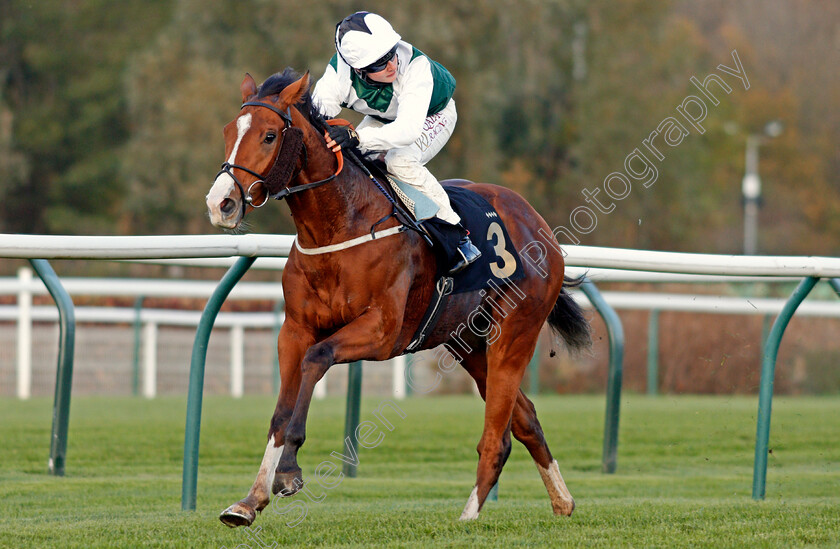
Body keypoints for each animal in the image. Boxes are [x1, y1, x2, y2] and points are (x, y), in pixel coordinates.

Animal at [204, 69, 592, 528]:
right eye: (228, 131)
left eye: (267, 136)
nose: (221, 203)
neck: (340, 225)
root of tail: (537, 223)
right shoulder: (294, 330)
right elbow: (281, 410)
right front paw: (250, 500)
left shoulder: (382, 332)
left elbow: (317, 358)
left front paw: (288, 471)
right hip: (469, 343)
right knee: (526, 419)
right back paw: (562, 501)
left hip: (514, 334)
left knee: (497, 437)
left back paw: (468, 517)